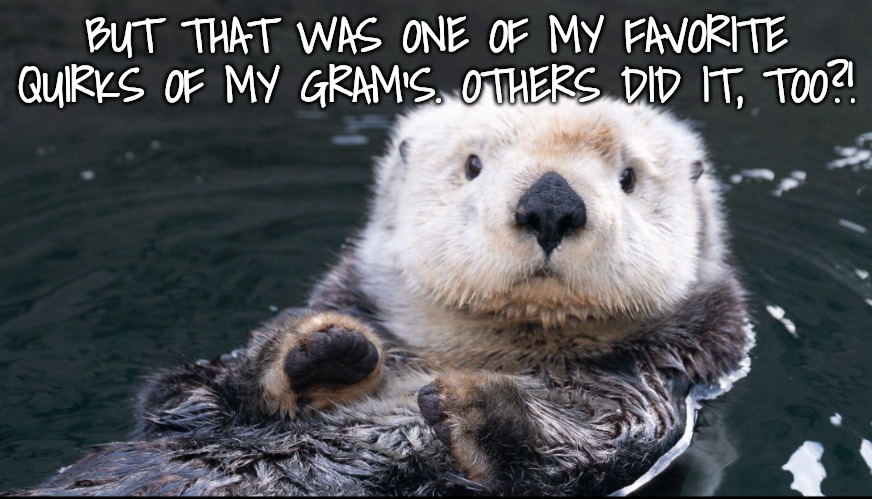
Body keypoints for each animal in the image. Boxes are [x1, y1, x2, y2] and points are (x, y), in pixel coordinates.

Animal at [8, 96, 754, 496]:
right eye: (473, 165)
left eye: (628, 177)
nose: (551, 202)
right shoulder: (189, 409)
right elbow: (186, 394)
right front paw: (319, 348)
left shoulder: (645, 399)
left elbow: (580, 449)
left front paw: (474, 403)